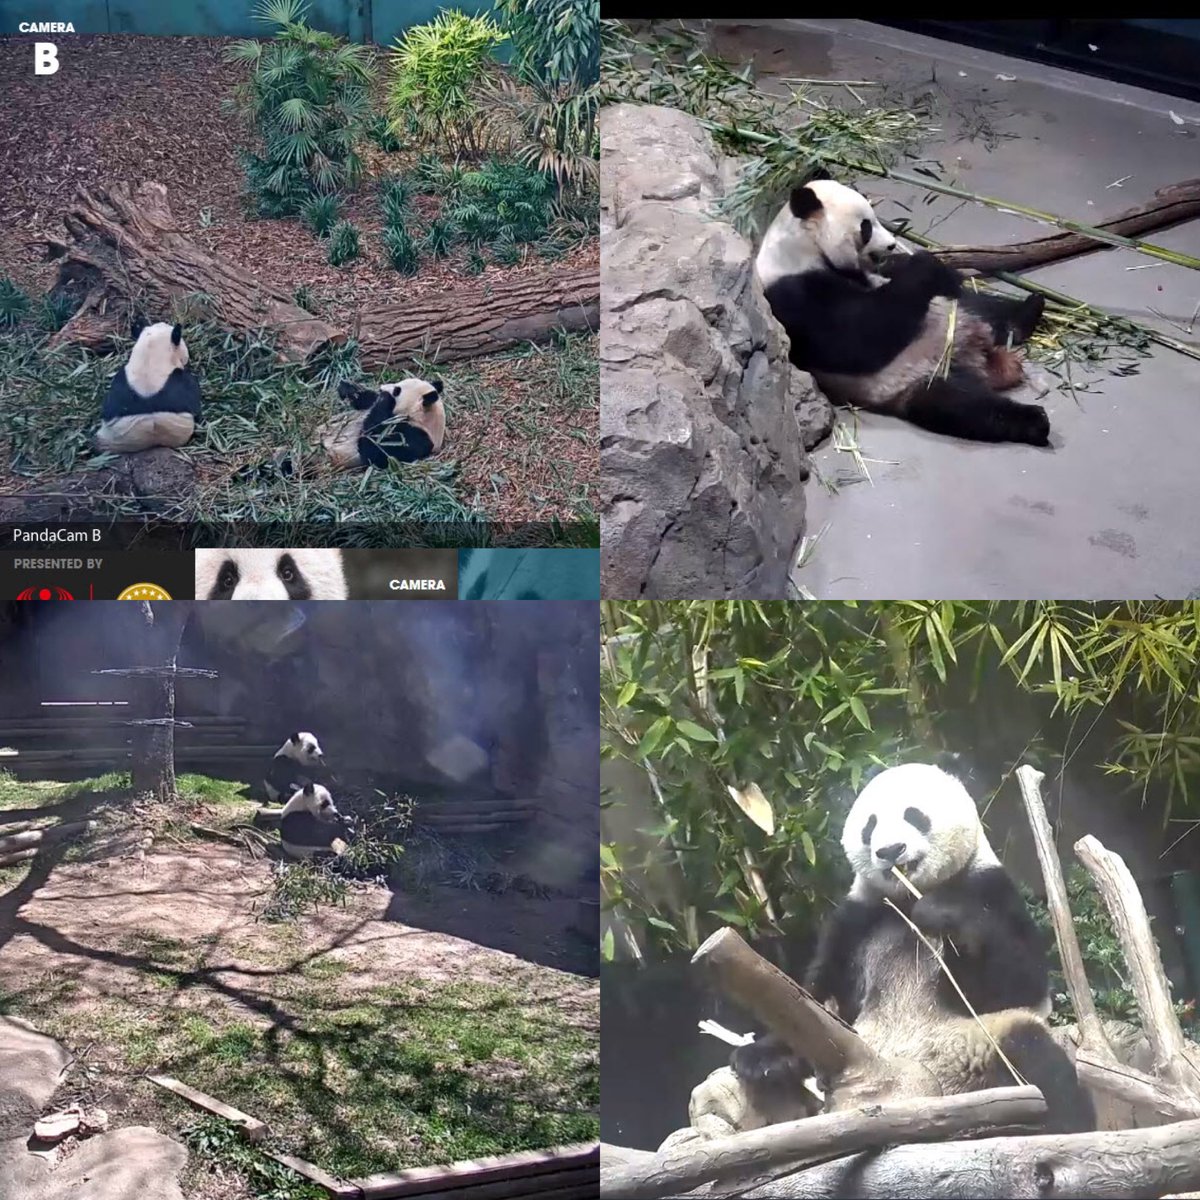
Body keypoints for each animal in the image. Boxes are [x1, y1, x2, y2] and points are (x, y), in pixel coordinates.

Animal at [730, 762, 1094, 1134]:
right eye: (870, 825)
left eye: (914, 815)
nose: (890, 850)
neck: (906, 899)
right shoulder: (858, 920)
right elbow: (816, 995)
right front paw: (765, 1054)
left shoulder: (991, 890)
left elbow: (1018, 985)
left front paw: (942, 914)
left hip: (979, 1041)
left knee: (1038, 1059)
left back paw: (1063, 1124)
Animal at [755, 173, 1051, 446]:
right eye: (866, 227)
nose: (890, 245)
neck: (802, 248)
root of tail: (979, 359)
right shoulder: (793, 294)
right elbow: (855, 338)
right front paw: (926, 266)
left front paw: (939, 270)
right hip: (921, 380)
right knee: (967, 406)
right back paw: (1035, 421)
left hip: (958, 313)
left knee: (982, 306)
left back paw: (1029, 310)